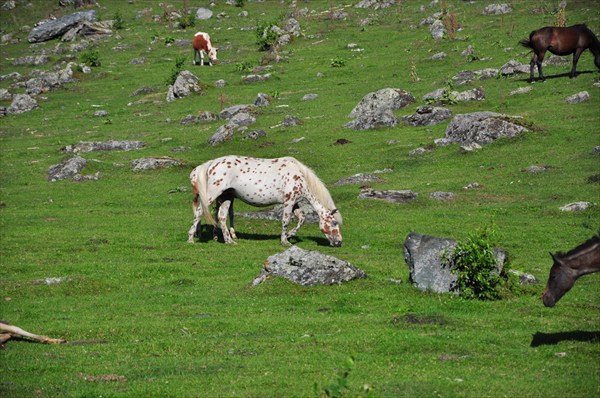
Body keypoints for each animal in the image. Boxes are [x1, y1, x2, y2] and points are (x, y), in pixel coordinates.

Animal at [190, 155, 344, 246]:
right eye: (334, 223)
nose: (339, 242)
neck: (299, 175)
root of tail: (212, 163)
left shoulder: (294, 203)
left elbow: (302, 218)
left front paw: (289, 235)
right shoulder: (289, 202)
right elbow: (286, 220)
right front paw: (285, 241)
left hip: (226, 197)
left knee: (221, 217)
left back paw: (229, 241)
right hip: (212, 195)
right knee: (199, 212)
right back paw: (191, 238)